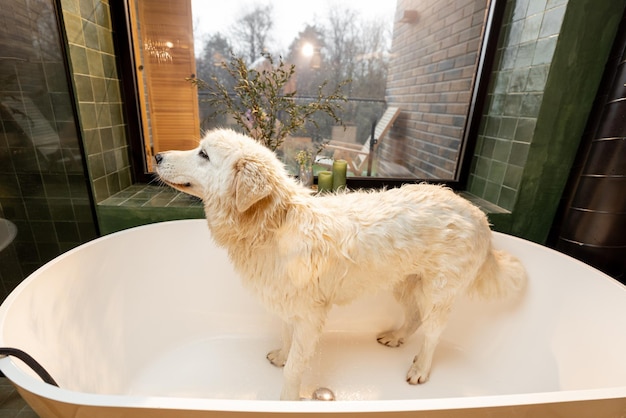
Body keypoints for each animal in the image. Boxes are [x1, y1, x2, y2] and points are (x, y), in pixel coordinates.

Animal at [154, 129, 524, 400]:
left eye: (203, 154)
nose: (157, 155)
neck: (273, 223)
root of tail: (477, 214)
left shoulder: (310, 314)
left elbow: (295, 369)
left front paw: (286, 400)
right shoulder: (289, 303)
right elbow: (287, 338)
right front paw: (282, 355)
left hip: (438, 293)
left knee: (432, 333)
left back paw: (420, 368)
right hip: (403, 282)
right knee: (413, 317)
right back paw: (396, 337)